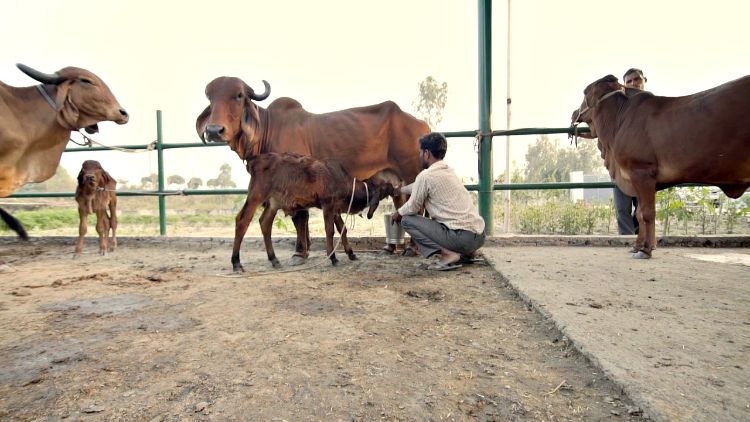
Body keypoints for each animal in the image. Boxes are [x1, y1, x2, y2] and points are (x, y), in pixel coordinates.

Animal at [194, 76, 428, 264]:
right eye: (210, 98)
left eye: (239, 95)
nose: (214, 130)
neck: (269, 128)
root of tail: (422, 125)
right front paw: (306, 251)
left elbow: (301, 218)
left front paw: (300, 252)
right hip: (396, 181)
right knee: (400, 206)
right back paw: (393, 248)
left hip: (412, 174)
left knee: (418, 208)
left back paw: (411, 249)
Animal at [572, 74, 748, 258]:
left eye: (585, 92)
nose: (574, 113)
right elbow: (639, 214)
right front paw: (638, 245)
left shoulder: (642, 172)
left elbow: (647, 213)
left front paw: (645, 249)